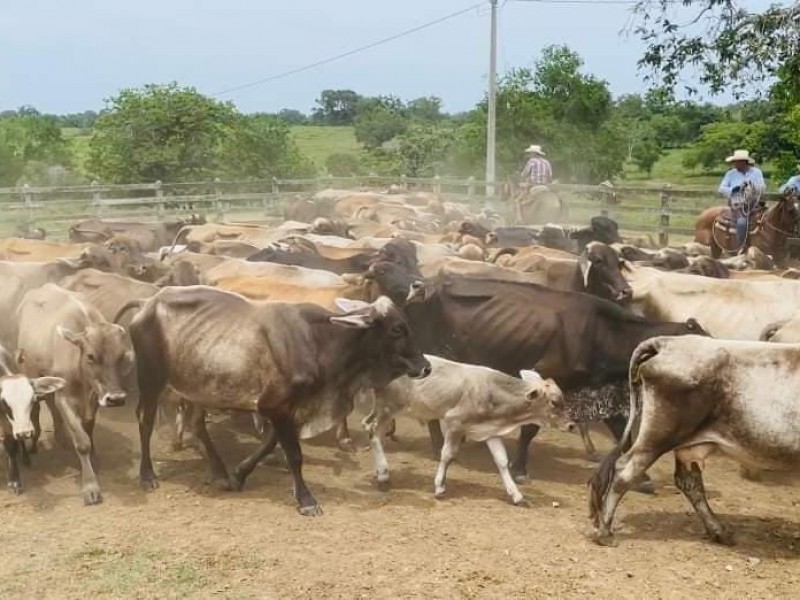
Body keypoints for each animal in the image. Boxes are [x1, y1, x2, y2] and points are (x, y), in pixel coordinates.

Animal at [128, 288, 432, 512]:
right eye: (397, 329)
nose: (426, 366)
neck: (319, 341)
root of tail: (147, 302)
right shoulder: (275, 405)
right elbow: (294, 454)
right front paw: (306, 500)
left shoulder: (290, 408)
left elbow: (270, 443)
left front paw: (239, 474)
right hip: (151, 380)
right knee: (145, 421)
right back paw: (147, 476)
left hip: (194, 387)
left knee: (197, 424)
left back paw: (219, 472)